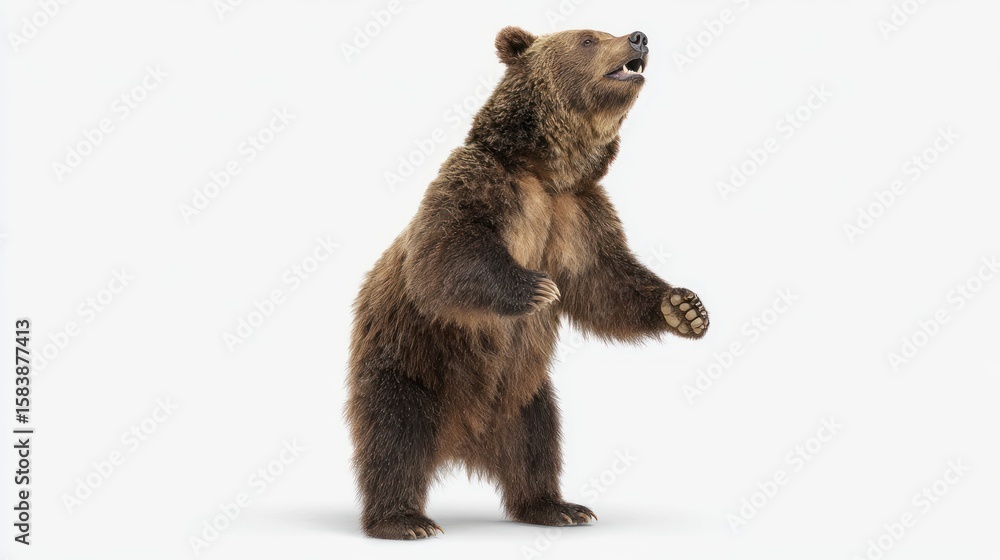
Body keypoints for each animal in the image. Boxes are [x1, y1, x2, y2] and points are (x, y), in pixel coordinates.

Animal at [346, 26, 709, 540]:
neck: (548, 171)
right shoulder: (481, 181)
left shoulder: (580, 214)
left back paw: (557, 506)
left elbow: (607, 282)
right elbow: (442, 253)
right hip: (411, 364)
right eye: (588, 38)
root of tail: (463, 441)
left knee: (537, 444)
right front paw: (535, 288)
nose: (639, 37)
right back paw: (403, 519)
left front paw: (685, 308)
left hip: (523, 394)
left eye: (607, 31)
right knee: (394, 437)